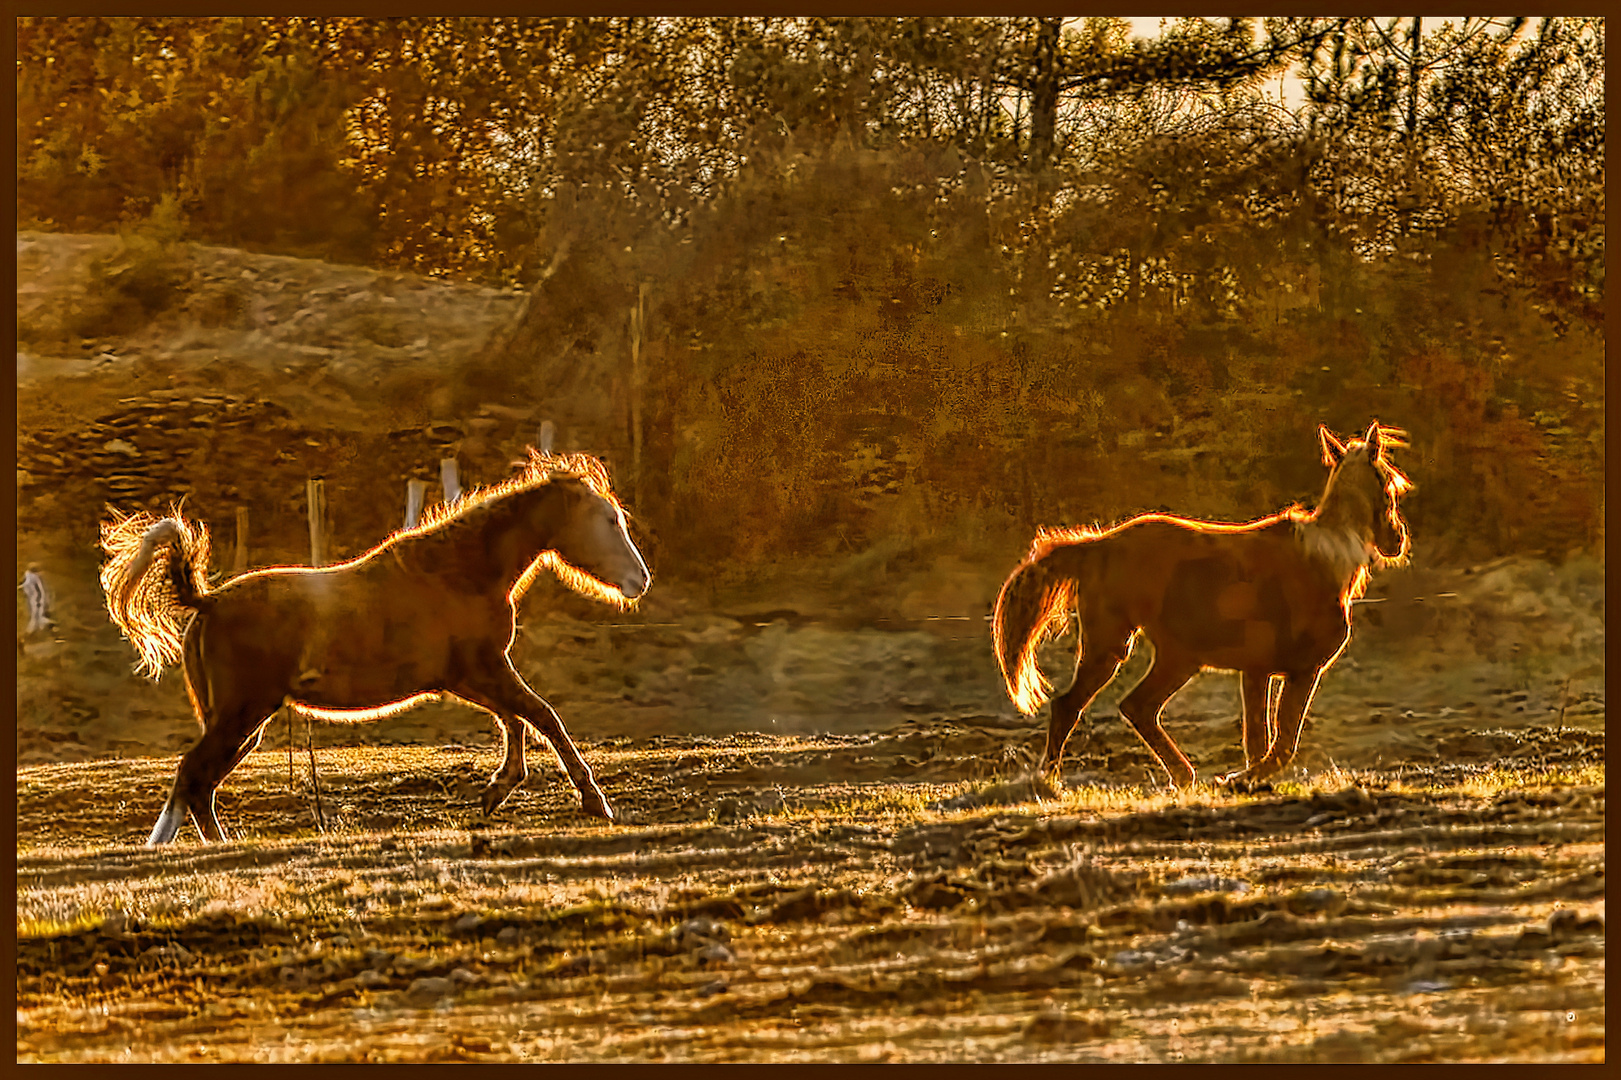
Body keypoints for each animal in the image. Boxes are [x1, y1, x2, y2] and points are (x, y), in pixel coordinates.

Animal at [102, 444, 651, 843]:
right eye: (608, 520)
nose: (639, 581)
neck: (457, 573)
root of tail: (207, 600)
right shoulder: (484, 670)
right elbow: (543, 717)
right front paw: (595, 802)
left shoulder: (465, 676)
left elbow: (516, 720)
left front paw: (497, 790)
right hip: (240, 715)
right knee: (191, 775)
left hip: (243, 724)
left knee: (199, 784)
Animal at [985, 421, 1407, 781]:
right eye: (1390, 487)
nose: (1397, 538)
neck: (1326, 556)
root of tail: (1099, 545)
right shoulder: (1303, 670)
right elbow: (1282, 744)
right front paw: (1241, 780)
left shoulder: (1257, 672)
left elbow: (1258, 740)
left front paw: (1245, 780)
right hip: (1116, 648)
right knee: (1072, 706)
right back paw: (1050, 782)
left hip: (1176, 658)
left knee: (1136, 708)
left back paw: (1183, 776)